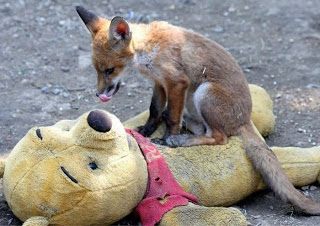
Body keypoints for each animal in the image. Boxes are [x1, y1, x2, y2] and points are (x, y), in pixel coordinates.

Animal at [75, 4, 320, 214]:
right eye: (97, 70)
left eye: (109, 70)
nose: (98, 94)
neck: (148, 49)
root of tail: (244, 118)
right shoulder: (160, 82)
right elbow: (155, 110)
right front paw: (145, 131)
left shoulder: (176, 82)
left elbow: (172, 117)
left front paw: (167, 138)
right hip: (193, 99)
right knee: (203, 129)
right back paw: (188, 129)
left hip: (203, 93)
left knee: (219, 137)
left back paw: (182, 140)